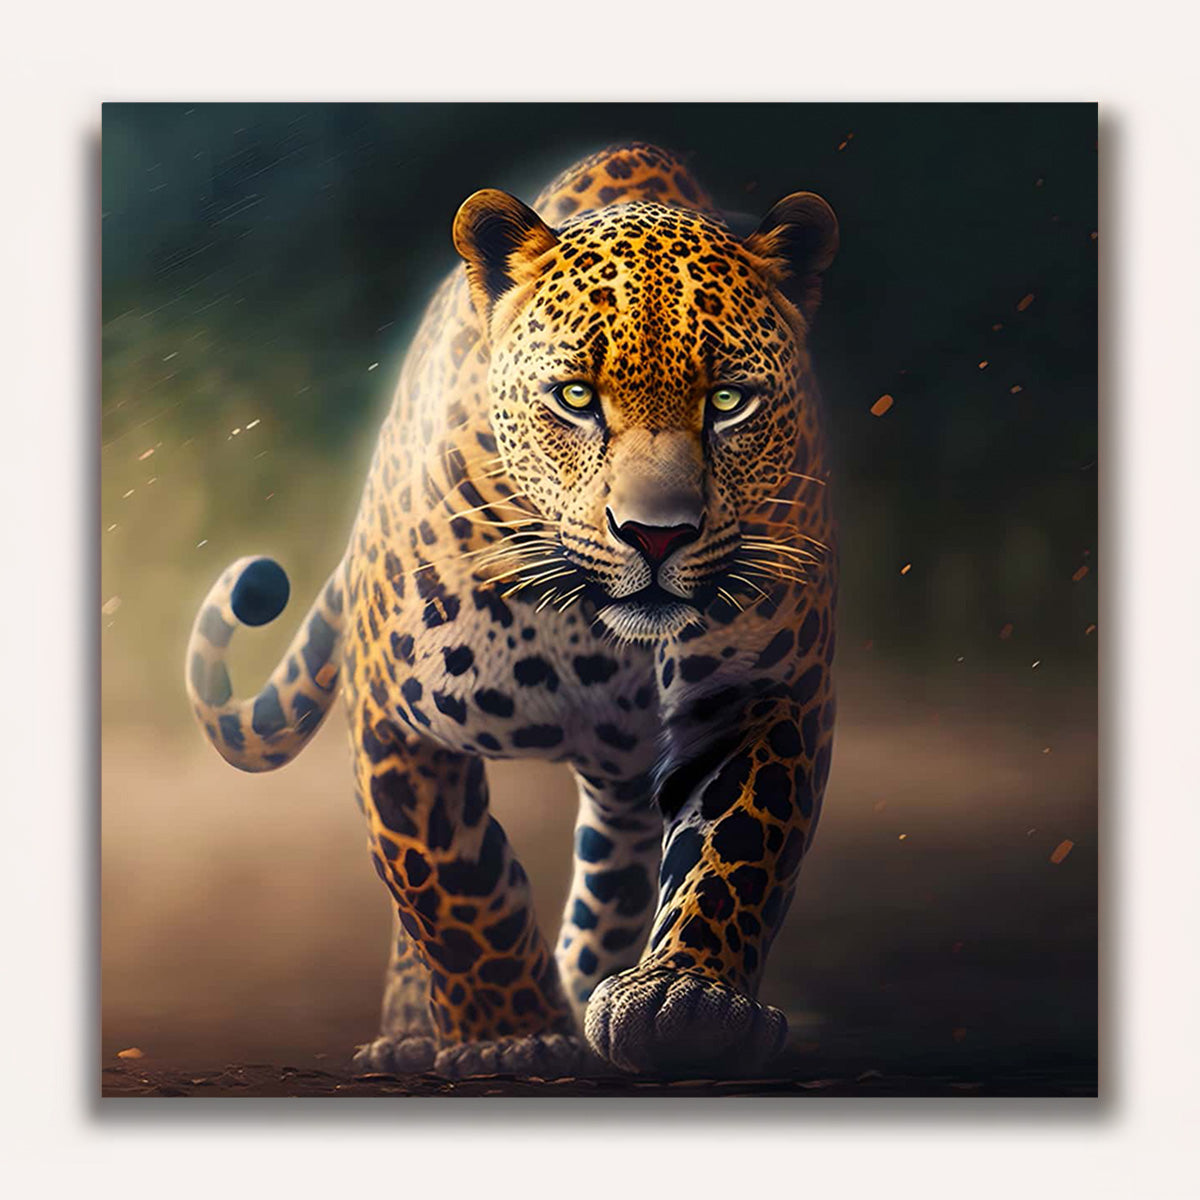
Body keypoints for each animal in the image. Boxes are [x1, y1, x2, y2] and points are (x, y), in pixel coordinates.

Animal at [185, 141, 840, 1079]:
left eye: (728, 402)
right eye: (575, 397)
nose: (657, 534)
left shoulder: (759, 694)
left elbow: (740, 848)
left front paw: (685, 1002)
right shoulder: (397, 714)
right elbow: (452, 882)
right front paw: (510, 1034)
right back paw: (420, 1028)